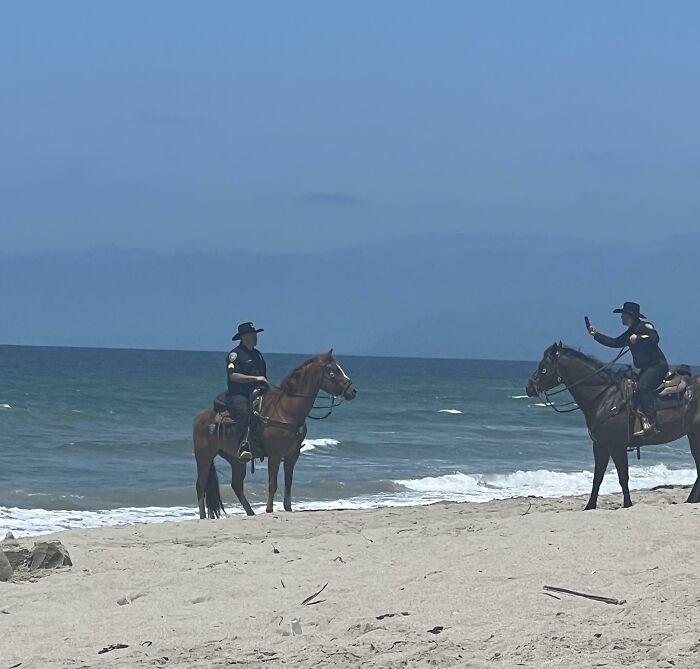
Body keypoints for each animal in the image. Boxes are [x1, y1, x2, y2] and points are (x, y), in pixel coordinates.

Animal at [191, 352, 356, 520]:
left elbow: (288, 482)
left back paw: (250, 513)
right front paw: (269, 509)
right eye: (332, 372)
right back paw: (203, 516)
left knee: (236, 485)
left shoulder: (292, 455)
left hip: (236, 460)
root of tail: (200, 416)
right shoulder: (275, 455)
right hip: (204, 456)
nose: (353, 391)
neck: (286, 411)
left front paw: (288, 508)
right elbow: (273, 483)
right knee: (201, 485)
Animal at [524, 344, 700, 506]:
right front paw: (590, 506)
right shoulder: (600, 445)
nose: (529, 387)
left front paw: (627, 504)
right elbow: (598, 477)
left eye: (544, 368)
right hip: (692, 435)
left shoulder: (616, 445)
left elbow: (622, 477)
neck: (605, 398)